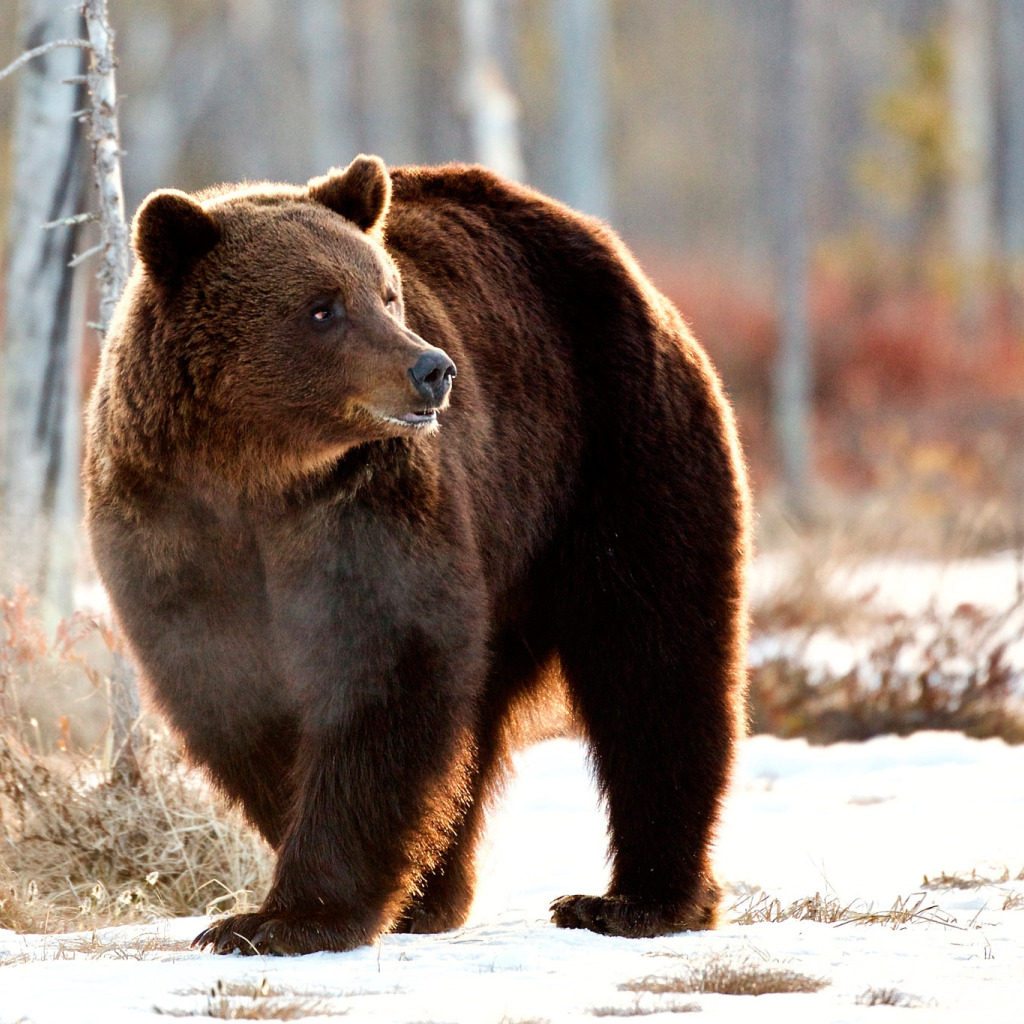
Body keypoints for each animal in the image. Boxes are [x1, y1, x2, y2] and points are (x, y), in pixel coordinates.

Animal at [81, 155, 753, 954]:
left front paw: (291, 915)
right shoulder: (173, 534)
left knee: (654, 658)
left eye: (387, 292)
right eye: (322, 308)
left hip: (616, 452)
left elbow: (385, 673)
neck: (258, 479)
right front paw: (328, 895)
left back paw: (635, 900)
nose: (432, 369)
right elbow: (237, 695)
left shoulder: (369, 510)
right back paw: (443, 890)